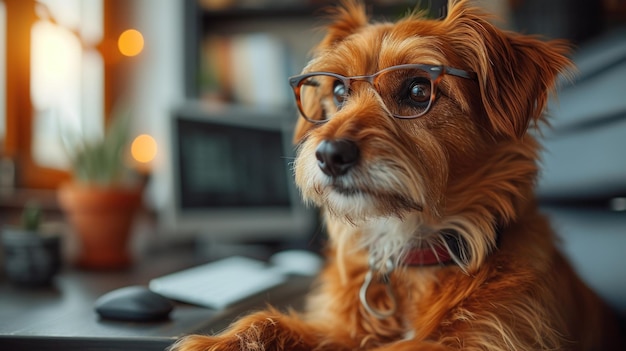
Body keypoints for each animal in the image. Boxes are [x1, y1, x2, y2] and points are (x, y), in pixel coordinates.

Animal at [172, 1, 624, 350]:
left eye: (419, 90)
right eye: (339, 92)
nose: (329, 155)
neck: (409, 253)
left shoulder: (493, 338)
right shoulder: (340, 328)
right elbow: (268, 322)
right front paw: (215, 341)